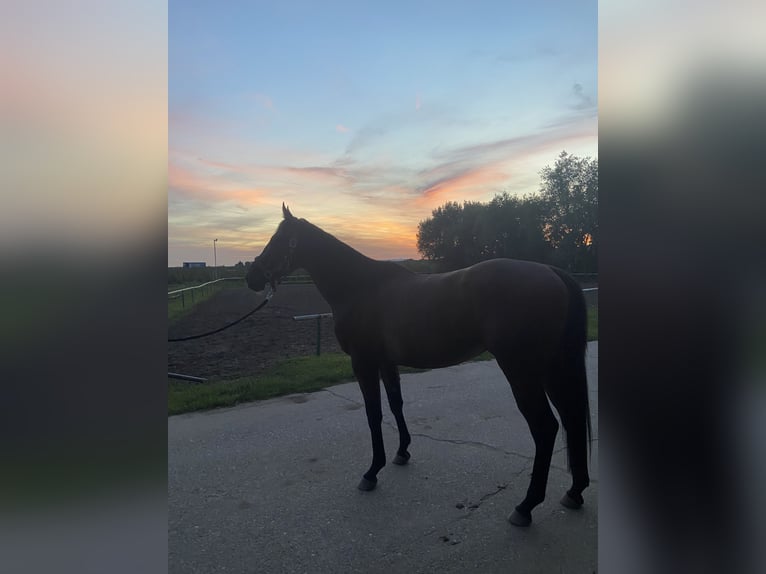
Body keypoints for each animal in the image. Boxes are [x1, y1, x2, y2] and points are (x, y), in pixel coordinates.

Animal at [248, 205, 592, 528]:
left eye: (279, 240)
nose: (252, 276)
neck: (360, 287)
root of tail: (551, 272)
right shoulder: (386, 362)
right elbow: (396, 404)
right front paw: (402, 452)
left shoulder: (364, 363)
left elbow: (374, 414)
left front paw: (372, 472)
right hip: (552, 369)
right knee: (571, 417)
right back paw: (574, 492)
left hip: (522, 371)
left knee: (546, 427)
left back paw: (525, 506)